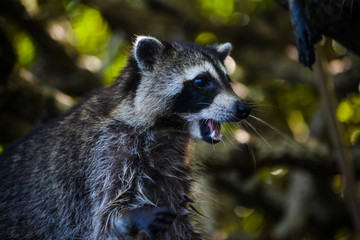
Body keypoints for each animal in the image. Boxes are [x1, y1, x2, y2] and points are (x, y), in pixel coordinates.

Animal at [0, 36, 250, 240]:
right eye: (201, 81)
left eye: (228, 81)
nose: (243, 109)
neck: (170, 130)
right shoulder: (108, 150)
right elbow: (105, 218)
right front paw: (126, 219)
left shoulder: (172, 167)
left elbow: (178, 225)